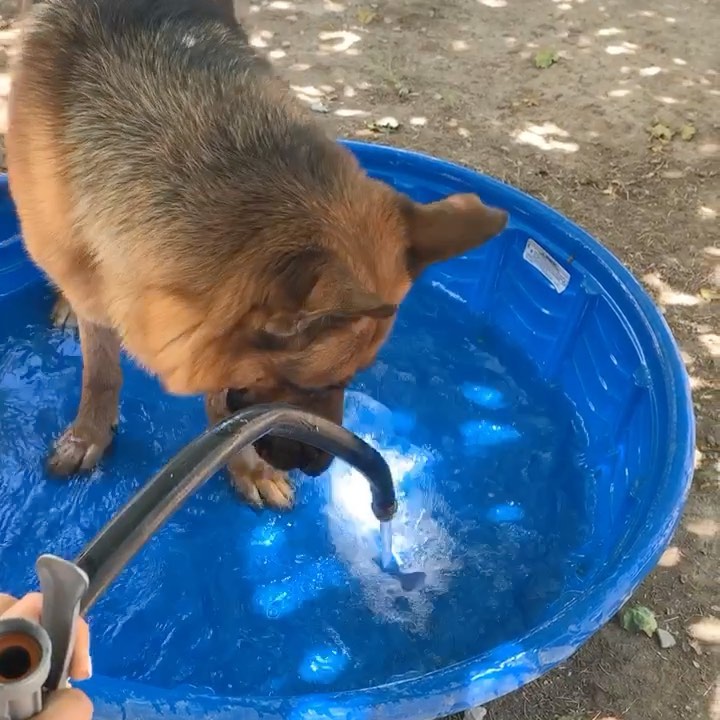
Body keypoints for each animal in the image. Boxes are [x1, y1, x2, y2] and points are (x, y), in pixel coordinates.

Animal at [8, 1, 510, 506]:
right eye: (322, 382)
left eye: (351, 381)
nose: (322, 466)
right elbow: (101, 371)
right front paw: (89, 434)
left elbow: (225, 408)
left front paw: (245, 465)